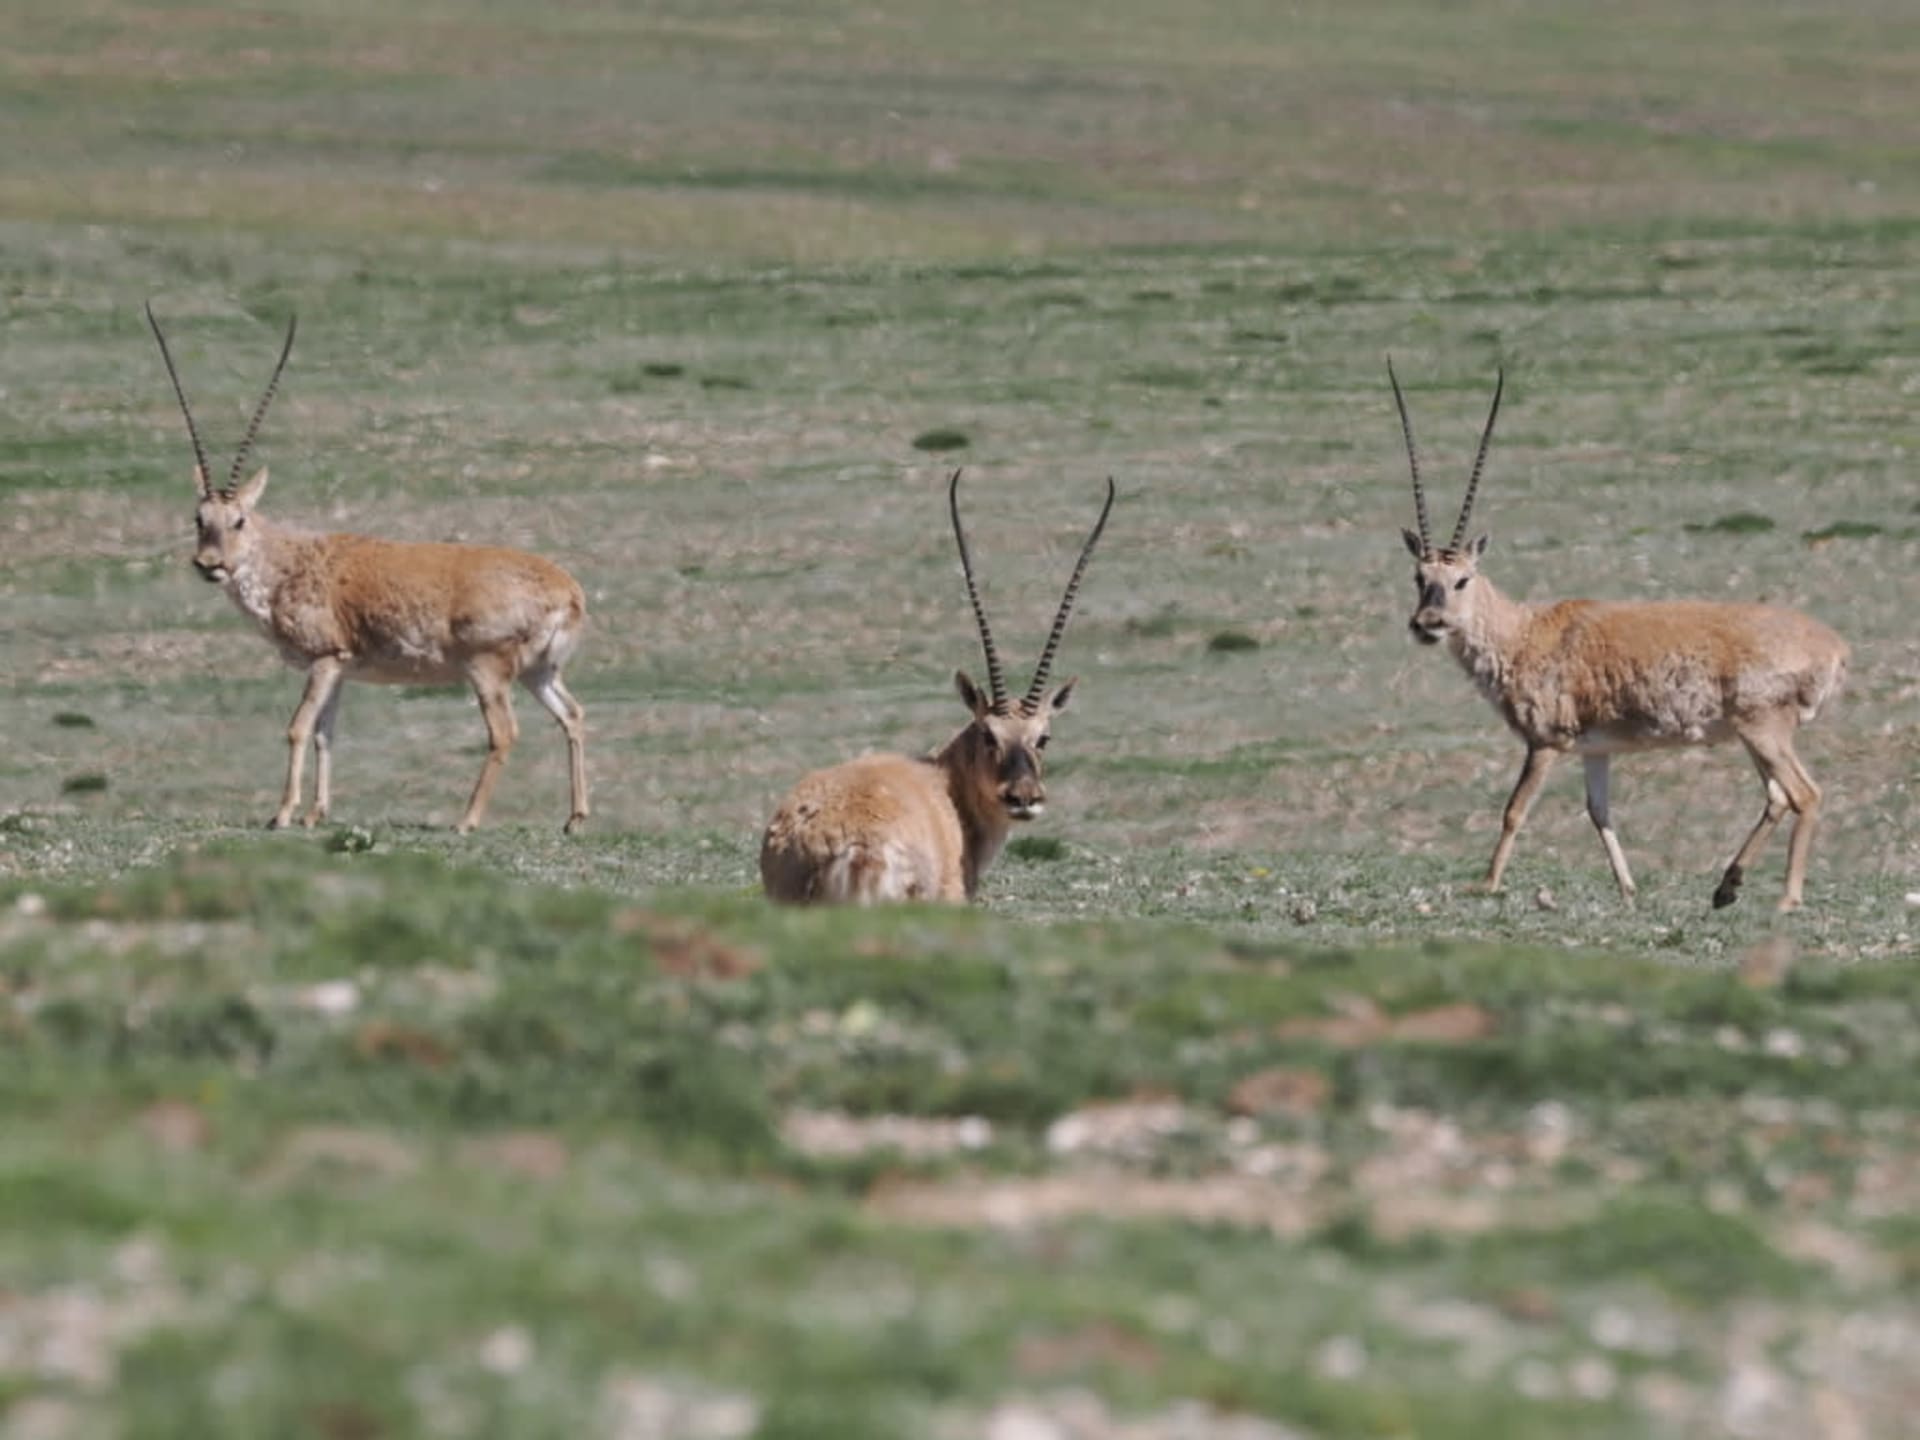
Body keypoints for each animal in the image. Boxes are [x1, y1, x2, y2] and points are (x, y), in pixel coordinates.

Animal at [147, 305, 590, 834]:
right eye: (199, 518)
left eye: (239, 519)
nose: (209, 565)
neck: (289, 562)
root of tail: (567, 591)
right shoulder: (340, 667)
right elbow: (325, 733)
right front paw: (316, 814)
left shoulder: (323, 659)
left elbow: (298, 728)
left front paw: (283, 814)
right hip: (539, 672)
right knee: (573, 715)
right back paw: (574, 819)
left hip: (488, 670)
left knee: (504, 732)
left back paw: (466, 821)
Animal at [1389, 363, 1847, 912]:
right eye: (1419, 576)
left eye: (1462, 579)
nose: (1428, 624)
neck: (1525, 633)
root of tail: (1832, 646)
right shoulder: (1596, 750)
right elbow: (1598, 811)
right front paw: (1628, 888)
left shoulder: (1546, 744)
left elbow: (1515, 809)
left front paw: (1488, 883)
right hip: (1755, 735)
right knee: (1778, 797)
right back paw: (1726, 888)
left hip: (1764, 730)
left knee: (1804, 794)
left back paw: (1785, 898)